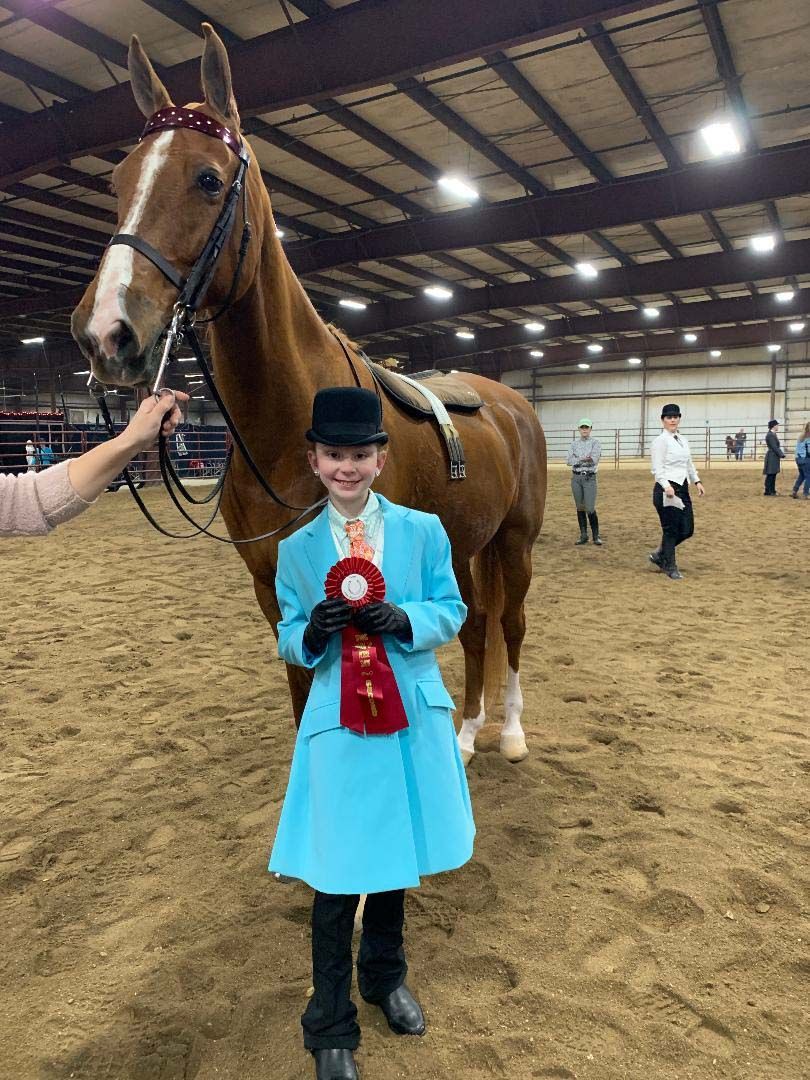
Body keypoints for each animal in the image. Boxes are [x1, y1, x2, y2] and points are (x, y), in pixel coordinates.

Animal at [70, 25, 547, 766]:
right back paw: (468, 736)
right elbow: (303, 697)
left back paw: (514, 734)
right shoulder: (276, 593)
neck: (291, 429)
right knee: (474, 629)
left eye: (208, 179)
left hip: (516, 543)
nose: (105, 334)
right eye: (118, 182)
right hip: (467, 546)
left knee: (513, 626)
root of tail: (508, 403)